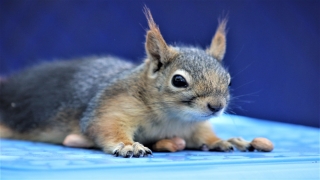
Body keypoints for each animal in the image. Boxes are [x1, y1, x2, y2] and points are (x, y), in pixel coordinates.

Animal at [0, 8, 251, 158]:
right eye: (178, 80)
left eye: (228, 81)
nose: (216, 106)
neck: (173, 118)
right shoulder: (111, 106)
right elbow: (105, 126)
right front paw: (128, 145)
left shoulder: (194, 125)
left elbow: (204, 134)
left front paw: (221, 140)